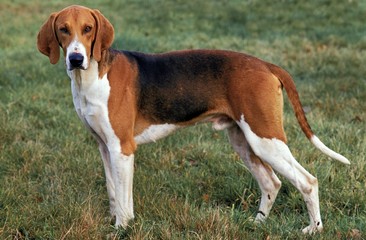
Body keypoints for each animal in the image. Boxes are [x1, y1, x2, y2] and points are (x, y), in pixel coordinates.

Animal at [37, 4, 348, 233]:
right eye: (63, 30)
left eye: (88, 29)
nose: (76, 59)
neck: (92, 76)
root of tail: (265, 64)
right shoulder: (104, 147)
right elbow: (114, 192)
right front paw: (115, 223)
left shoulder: (122, 149)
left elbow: (124, 199)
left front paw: (122, 228)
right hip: (244, 141)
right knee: (271, 183)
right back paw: (257, 223)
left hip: (265, 139)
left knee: (307, 181)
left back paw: (314, 228)